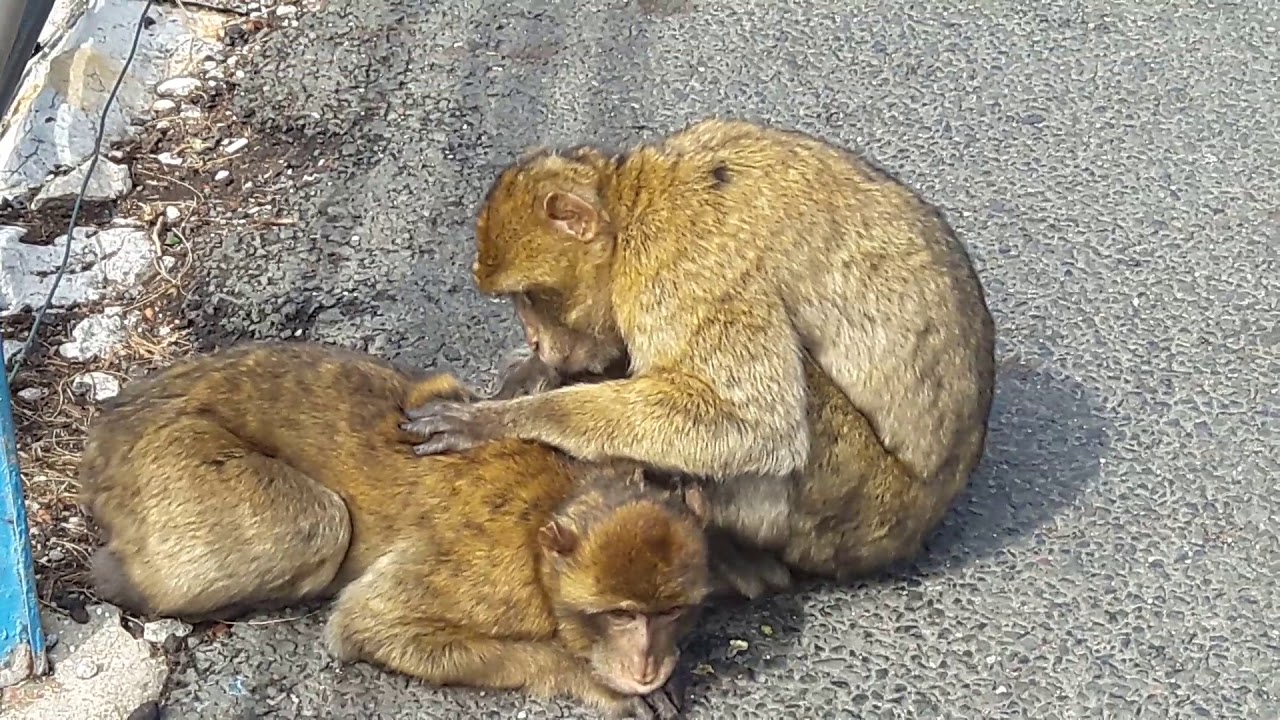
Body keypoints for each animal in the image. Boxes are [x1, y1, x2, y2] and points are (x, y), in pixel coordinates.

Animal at [78, 341, 711, 719]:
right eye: (620, 615)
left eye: (669, 613)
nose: (646, 665)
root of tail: (108, 428)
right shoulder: (495, 578)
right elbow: (369, 624)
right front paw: (597, 681)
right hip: (169, 459)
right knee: (317, 525)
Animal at [400, 118, 997, 590]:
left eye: (529, 298)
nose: (534, 339)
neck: (633, 206)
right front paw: (531, 374)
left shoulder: (685, 265)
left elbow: (757, 425)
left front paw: (503, 420)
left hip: (853, 507)